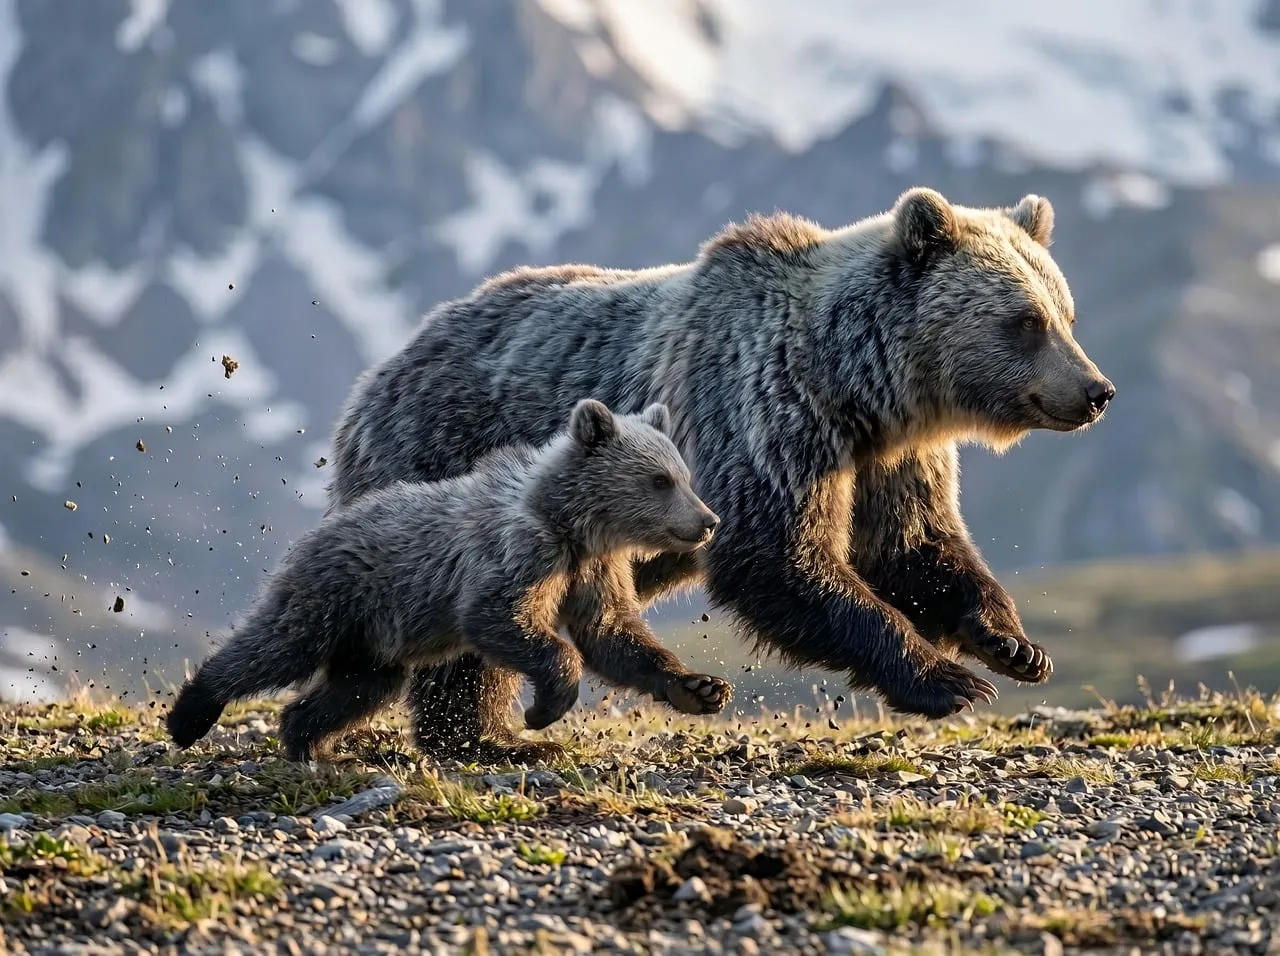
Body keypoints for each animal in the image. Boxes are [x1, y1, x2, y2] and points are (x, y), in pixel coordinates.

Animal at [165, 399, 731, 762]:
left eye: (683, 473)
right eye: (659, 479)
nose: (708, 521)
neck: (570, 525)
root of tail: (323, 525)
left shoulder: (593, 569)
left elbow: (612, 632)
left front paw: (699, 688)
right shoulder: (518, 553)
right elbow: (499, 618)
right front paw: (542, 712)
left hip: (372, 642)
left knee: (358, 688)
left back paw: (310, 743)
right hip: (336, 594)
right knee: (277, 647)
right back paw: (191, 713)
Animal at [326, 186, 1115, 763]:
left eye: (1067, 313)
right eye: (1026, 321)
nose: (1096, 391)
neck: (858, 387)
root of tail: (379, 375)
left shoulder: (888, 458)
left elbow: (913, 547)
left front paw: (1012, 644)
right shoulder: (761, 410)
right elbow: (779, 556)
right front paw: (946, 680)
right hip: (443, 464)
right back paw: (476, 735)